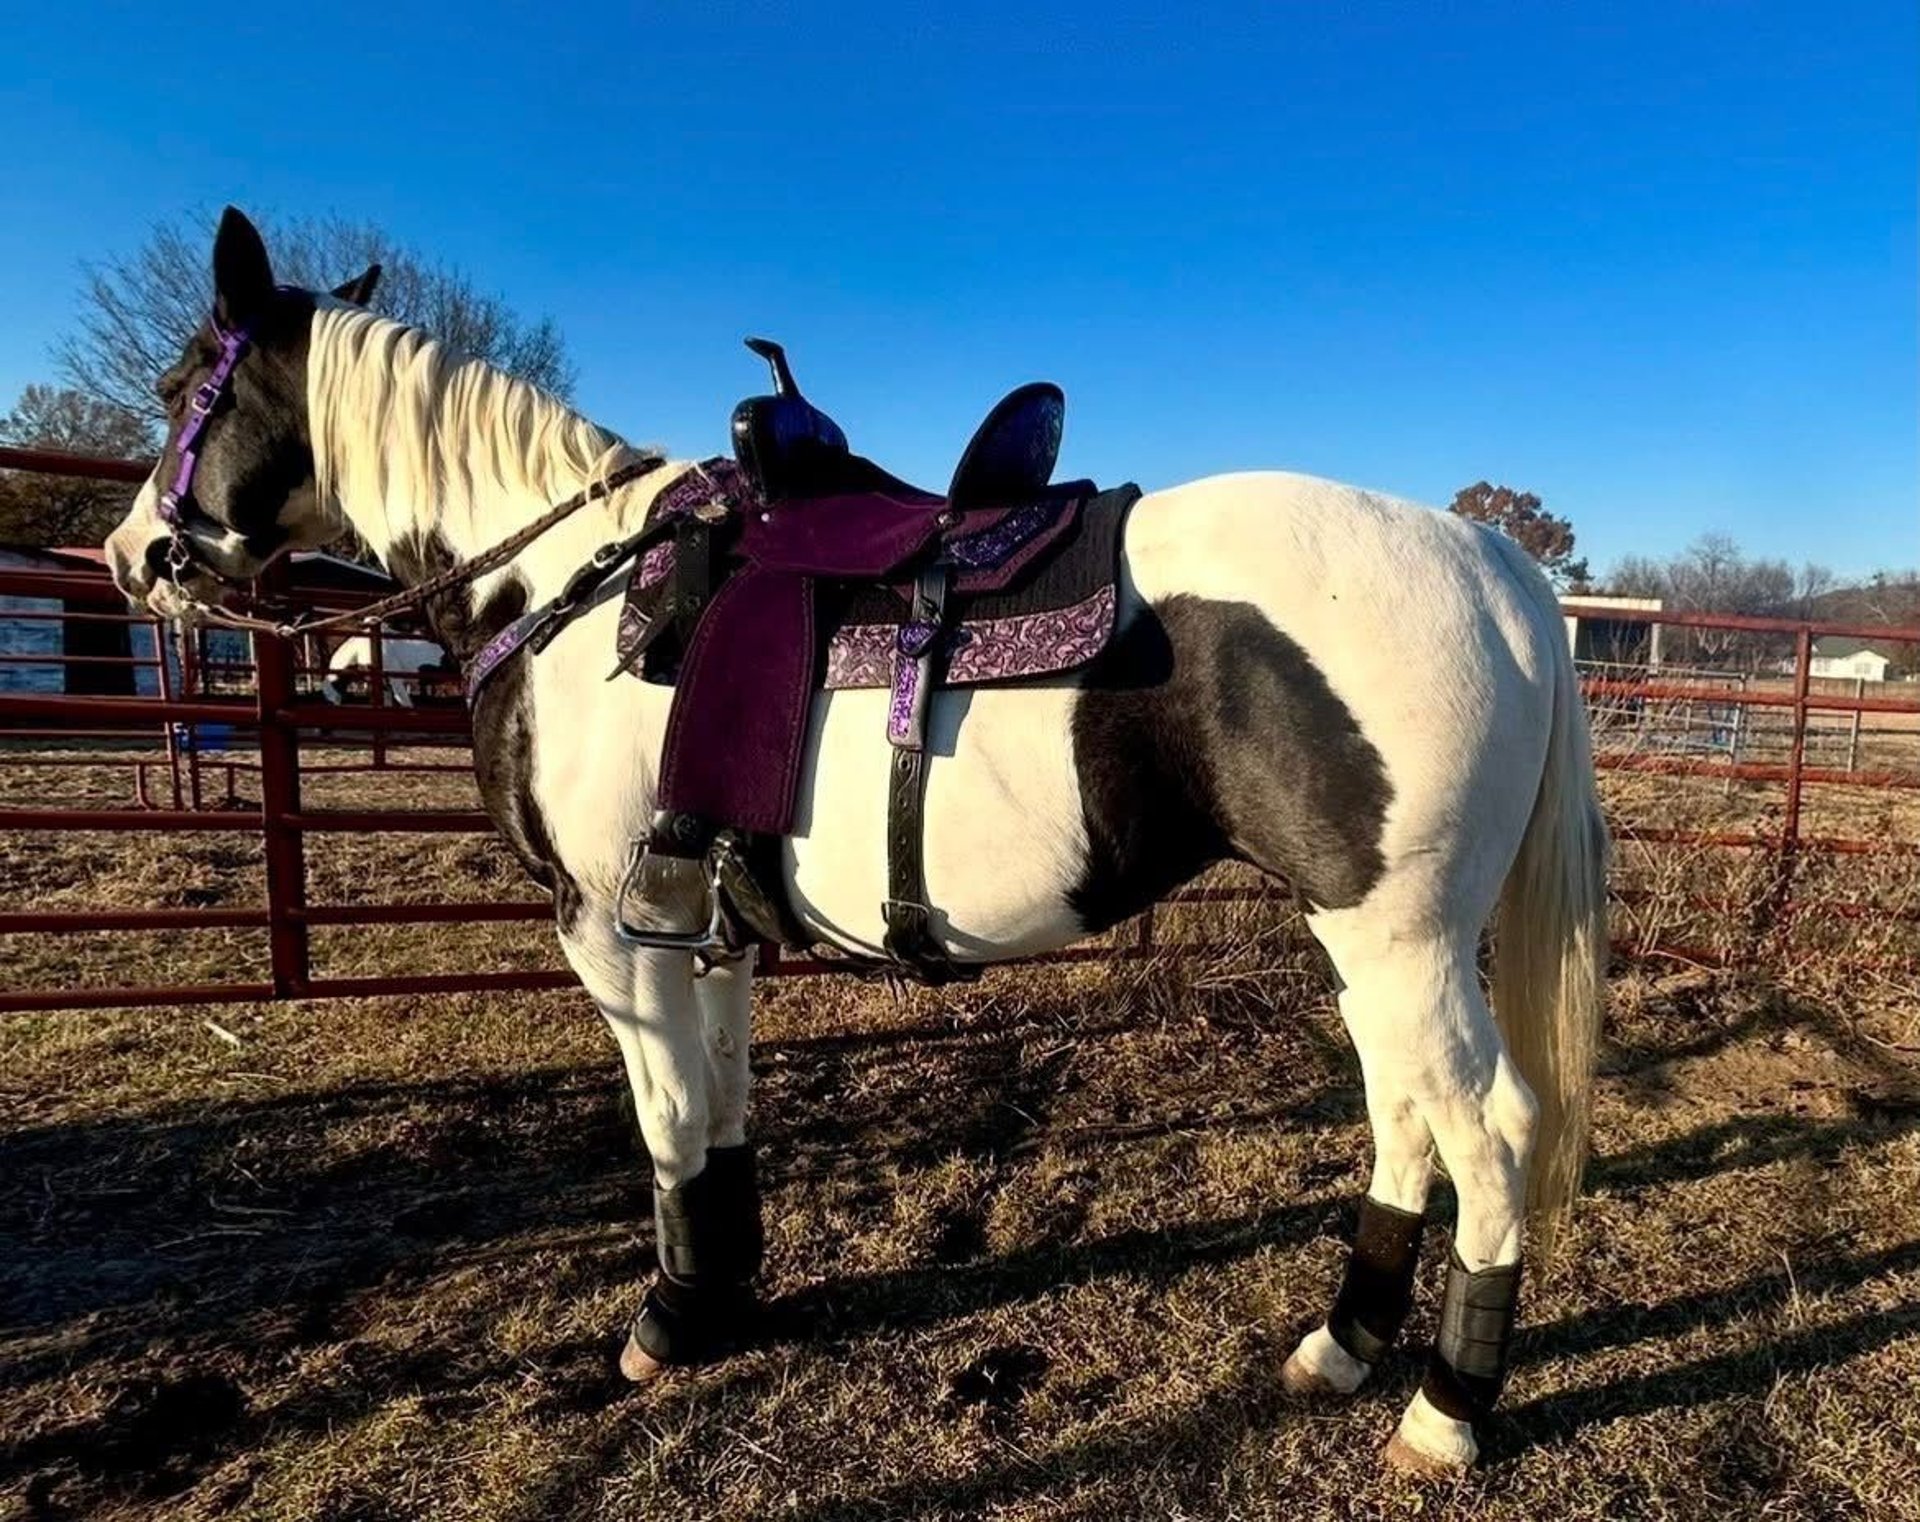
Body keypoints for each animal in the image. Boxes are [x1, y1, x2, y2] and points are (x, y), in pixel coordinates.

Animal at [105, 208, 1607, 1473]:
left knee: (1489, 1131)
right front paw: (725, 1290)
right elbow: (719, 1114)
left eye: (186, 388)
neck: (566, 589)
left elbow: (664, 1123)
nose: (130, 557)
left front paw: (669, 1317)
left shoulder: (612, 937)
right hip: (1368, 942)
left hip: (1402, 940)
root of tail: (1494, 564)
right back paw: (1341, 1348)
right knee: (1403, 1117)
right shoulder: (700, 932)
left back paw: (1443, 1413)